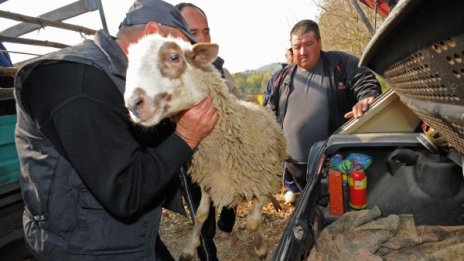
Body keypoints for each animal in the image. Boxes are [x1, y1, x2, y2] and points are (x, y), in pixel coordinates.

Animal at [125, 34, 288, 258]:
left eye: (174, 57)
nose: (133, 105)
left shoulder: (263, 181)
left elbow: (253, 222)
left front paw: (261, 248)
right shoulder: (208, 181)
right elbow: (201, 215)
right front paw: (189, 248)